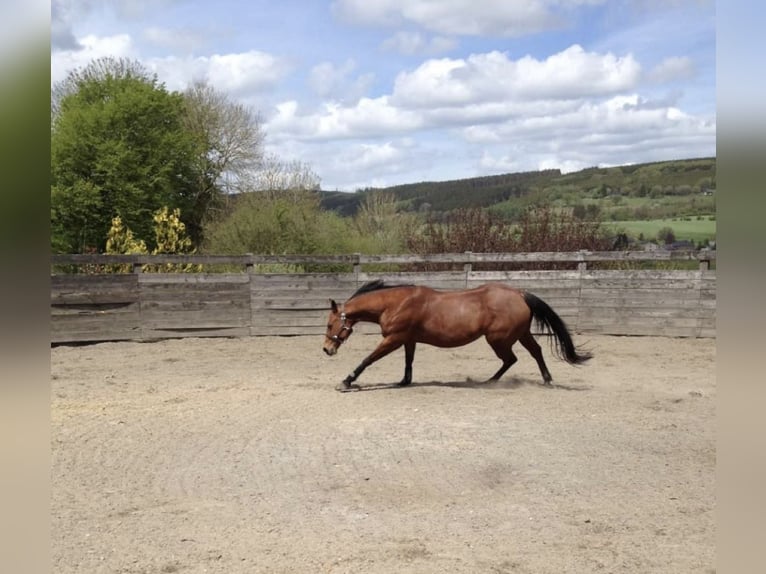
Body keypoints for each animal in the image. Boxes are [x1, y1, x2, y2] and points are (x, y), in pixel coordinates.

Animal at [324, 280, 592, 392]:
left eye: (328, 325)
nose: (327, 349)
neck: (396, 303)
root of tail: (519, 293)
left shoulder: (394, 339)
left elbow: (368, 360)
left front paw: (346, 382)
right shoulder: (408, 340)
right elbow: (409, 362)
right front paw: (404, 381)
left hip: (498, 339)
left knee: (511, 359)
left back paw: (490, 382)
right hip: (520, 334)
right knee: (534, 352)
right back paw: (545, 379)